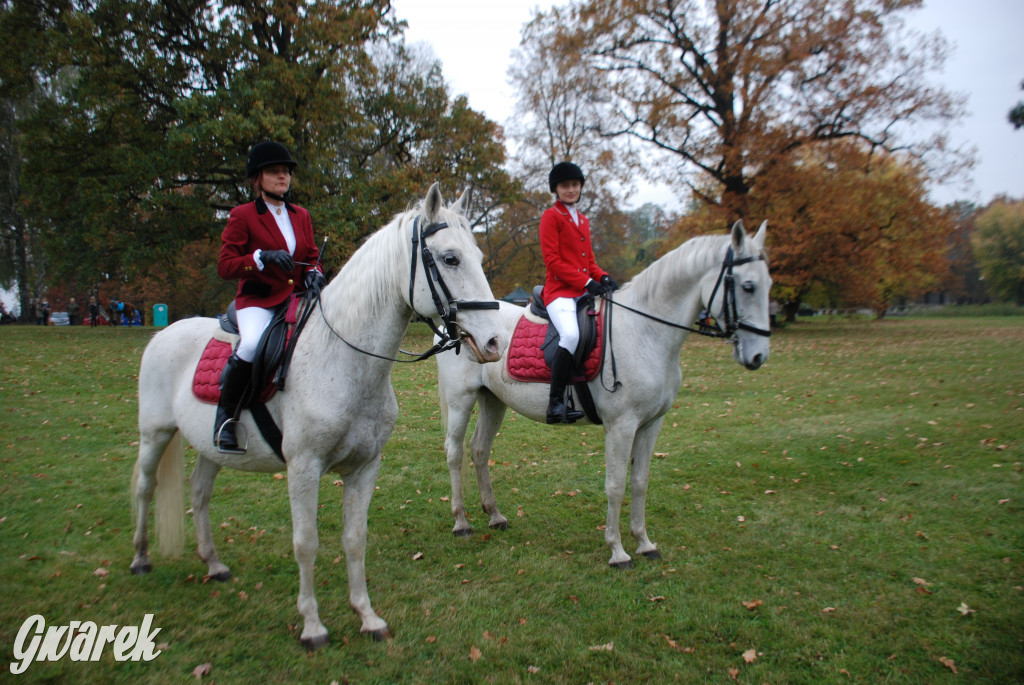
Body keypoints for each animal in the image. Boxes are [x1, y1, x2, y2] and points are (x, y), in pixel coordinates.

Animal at [130, 184, 505, 651]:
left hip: (211, 448)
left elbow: (355, 539)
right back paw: (141, 558)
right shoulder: (304, 467)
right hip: (155, 434)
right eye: (451, 258)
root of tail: (164, 332)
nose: (495, 342)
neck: (344, 358)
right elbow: (306, 543)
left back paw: (214, 565)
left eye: (478, 256)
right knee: (144, 487)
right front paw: (312, 626)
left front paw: (367, 617)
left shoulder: (365, 467)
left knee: (199, 494)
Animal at [436, 219, 770, 565]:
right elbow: (615, 485)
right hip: (461, 401)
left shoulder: (651, 424)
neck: (643, 331)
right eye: (748, 286)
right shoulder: (621, 426)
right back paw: (461, 522)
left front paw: (645, 543)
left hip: (493, 401)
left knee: (479, 450)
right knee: (455, 451)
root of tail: (453, 325)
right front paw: (618, 551)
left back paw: (495, 516)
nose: (759, 356)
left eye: (769, 284)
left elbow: (639, 482)